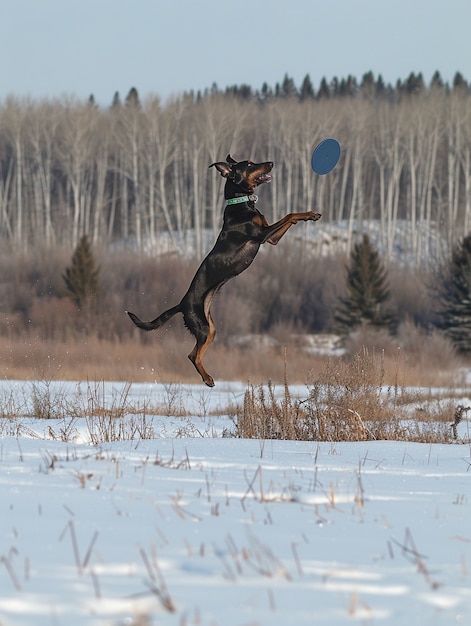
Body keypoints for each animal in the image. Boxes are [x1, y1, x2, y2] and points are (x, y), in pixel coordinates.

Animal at [127, 154, 322, 386]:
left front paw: (310, 214)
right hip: (201, 327)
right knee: (192, 356)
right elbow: (290, 215)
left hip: (210, 328)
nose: (272, 163)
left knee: (193, 353)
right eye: (249, 164)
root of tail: (182, 304)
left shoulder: (271, 239)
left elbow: (291, 217)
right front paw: (310, 214)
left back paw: (207, 376)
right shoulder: (261, 235)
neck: (240, 204)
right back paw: (208, 379)